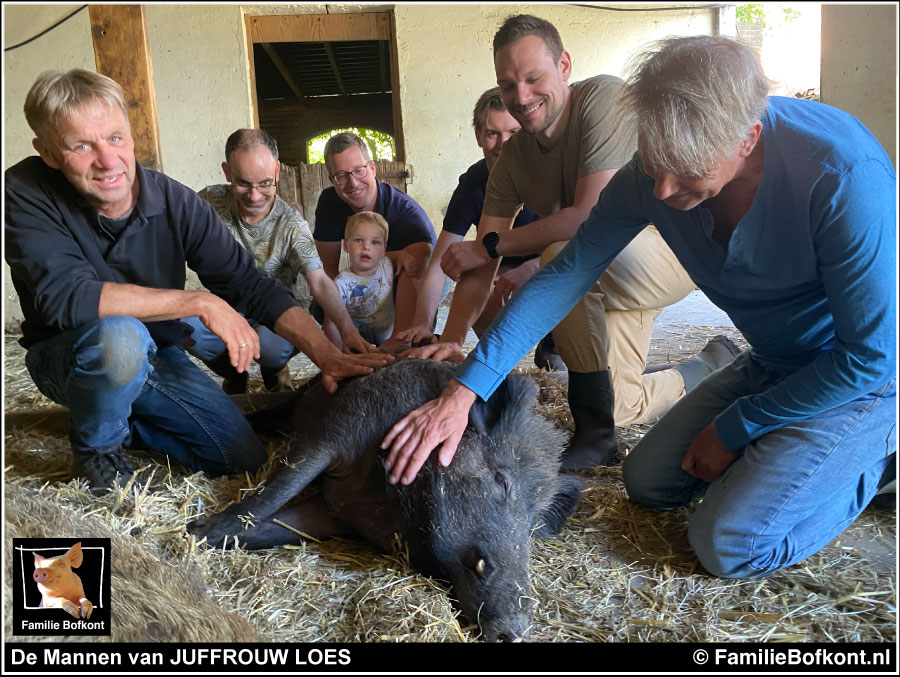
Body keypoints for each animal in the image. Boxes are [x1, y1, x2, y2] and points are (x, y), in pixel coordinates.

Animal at [190, 360, 584, 640]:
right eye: (501, 480)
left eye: (532, 521)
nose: (516, 631)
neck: (395, 504)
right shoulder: (333, 434)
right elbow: (277, 490)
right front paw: (192, 533)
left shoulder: (334, 515)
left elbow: (274, 529)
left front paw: (206, 535)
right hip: (304, 400)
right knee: (269, 415)